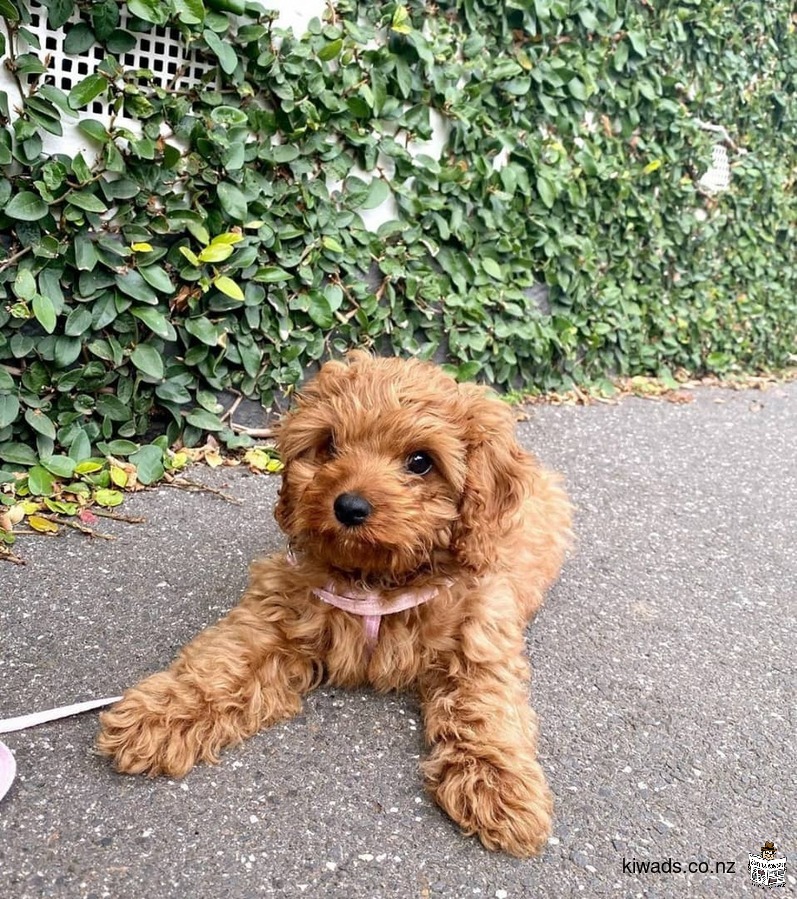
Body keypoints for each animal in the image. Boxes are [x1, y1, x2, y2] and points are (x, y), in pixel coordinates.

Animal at [98, 354, 572, 856]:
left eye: (421, 462)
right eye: (329, 445)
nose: (349, 506)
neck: (374, 581)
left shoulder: (479, 631)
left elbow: (484, 707)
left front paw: (497, 785)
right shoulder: (279, 607)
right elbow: (224, 662)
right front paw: (159, 715)